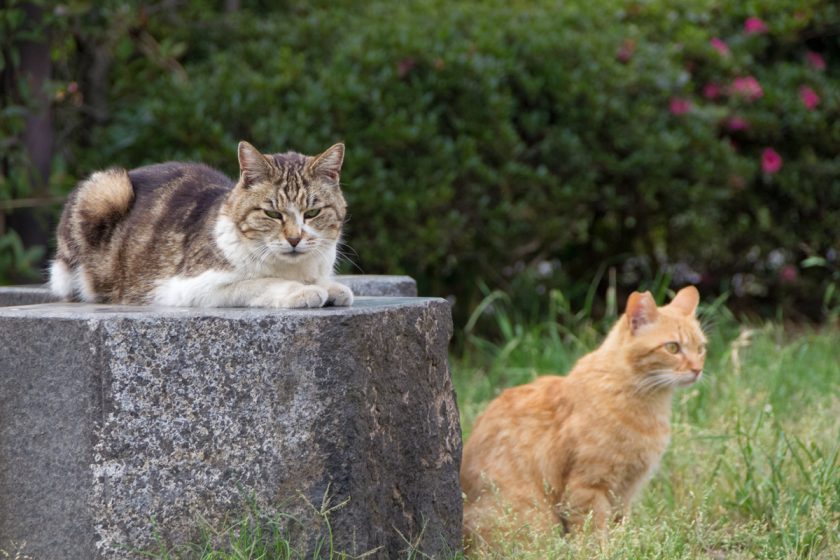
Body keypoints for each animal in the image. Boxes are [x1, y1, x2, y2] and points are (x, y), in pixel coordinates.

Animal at [49, 139, 352, 306]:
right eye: (273, 214)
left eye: (312, 213)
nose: (294, 238)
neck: (294, 268)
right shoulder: (188, 288)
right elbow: (262, 282)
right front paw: (303, 291)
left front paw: (329, 287)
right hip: (107, 189)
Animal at [462, 286, 704, 548]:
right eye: (673, 348)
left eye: (701, 348)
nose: (697, 369)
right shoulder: (588, 486)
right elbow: (593, 533)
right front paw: (604, 550)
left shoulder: (625, 491)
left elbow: (619, 526)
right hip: (538, 520)